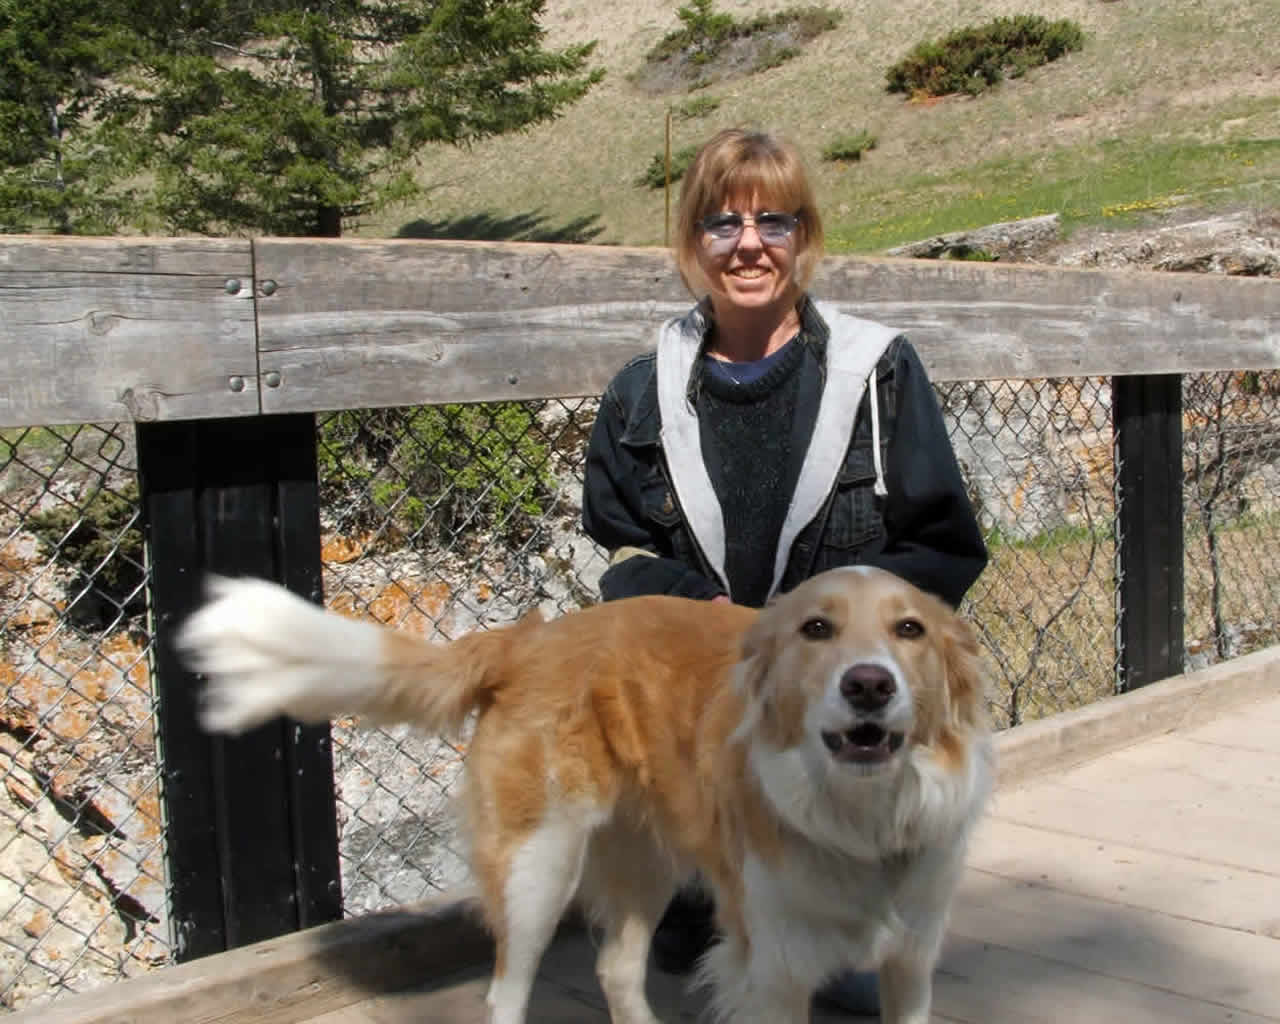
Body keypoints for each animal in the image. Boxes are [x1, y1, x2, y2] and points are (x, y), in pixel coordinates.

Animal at [180, 563, 993, 1018]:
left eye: (910, 630)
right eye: (816, 629)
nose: (869, 684)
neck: (863, 817)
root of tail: (526, 638)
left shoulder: (910, 962)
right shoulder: (775, 971)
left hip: (645, 864)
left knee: (616, 971)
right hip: (537, 868)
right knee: (506, 993)